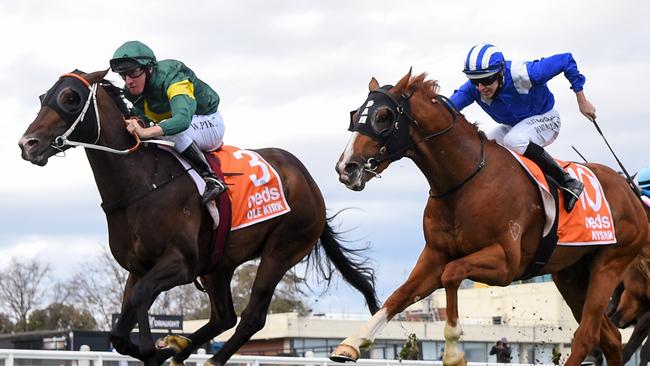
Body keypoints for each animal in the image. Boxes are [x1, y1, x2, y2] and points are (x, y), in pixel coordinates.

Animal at [17, 71, 378, 366]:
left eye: (70, 98)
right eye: (43, 97)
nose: (27, 144)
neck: (143, 182)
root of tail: (309, 182)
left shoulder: (181, 263)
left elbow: (142, 298)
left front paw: (153, 350)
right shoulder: (139, 267)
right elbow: (121, 329)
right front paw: (160, 348)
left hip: (282, 249)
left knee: (251, 316)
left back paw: (206, 358)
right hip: (220, 263)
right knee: (224, 316)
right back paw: (182, 347)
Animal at [332, 69, 644, 366]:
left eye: (383, 116)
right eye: (355, 115)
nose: (346, 168)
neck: (465, 180)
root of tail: (630, 190)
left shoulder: (506, 262)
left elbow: (452, 274)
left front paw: (454, 353)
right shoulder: (435, 255)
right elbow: (400, 295)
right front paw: (350, 344)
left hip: (609, 265)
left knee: (587, 335)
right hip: (570, 274)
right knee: (611, 337)